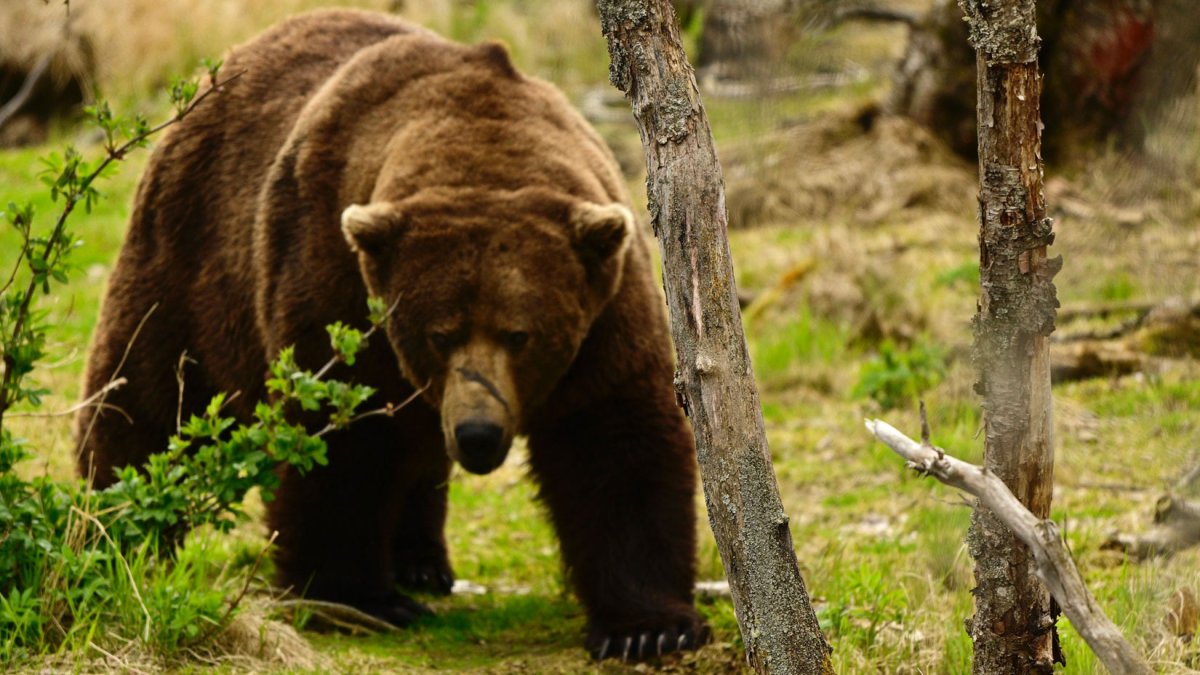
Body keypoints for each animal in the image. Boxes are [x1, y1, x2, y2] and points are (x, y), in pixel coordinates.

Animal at [74, 9, 707, 661]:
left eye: (520, 334)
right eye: (440, 334)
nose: (478, 433)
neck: (481, 152)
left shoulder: (605, 312)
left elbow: (615, 439)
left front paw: (648, 627)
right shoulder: (337, 283)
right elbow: (340, 440)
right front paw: (355, 597)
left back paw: (422, 563)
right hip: (192, 252)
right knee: (147, 394)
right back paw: (117, 529)